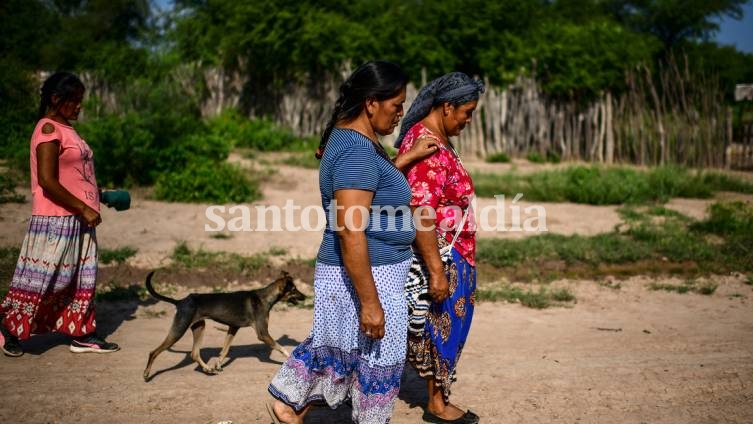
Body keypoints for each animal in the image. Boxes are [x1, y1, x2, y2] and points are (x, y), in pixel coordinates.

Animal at [142, 270, 304, 380]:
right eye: (294, 289)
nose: (305, 296)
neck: (264, 297)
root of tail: (180, 301)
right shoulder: (263, 334)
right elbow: (281, 348)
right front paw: (291, 357)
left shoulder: (233, 328)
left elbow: (224, 351)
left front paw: (218, 365)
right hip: (179, 329)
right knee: (154, 352)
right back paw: (146, 374)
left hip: (199, 327)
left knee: (195, 353)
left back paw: (208, 369)